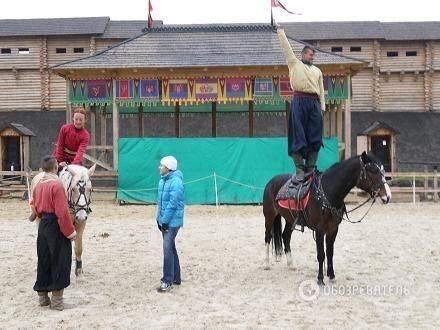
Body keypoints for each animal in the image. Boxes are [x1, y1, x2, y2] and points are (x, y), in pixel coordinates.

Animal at [262, 152, 390, 284]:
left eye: (382, 172)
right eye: (373, 171)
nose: (387, 197)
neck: (328, 193)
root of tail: (271, 181)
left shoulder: (333, 229)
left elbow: (329, 252)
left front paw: (331, 275)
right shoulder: (319, 230)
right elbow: (321, 254)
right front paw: (320, 279)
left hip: (290, 219)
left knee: (285, 236)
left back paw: (291, 264)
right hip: (269, 216)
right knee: (268, 237)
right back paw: (267, 264)